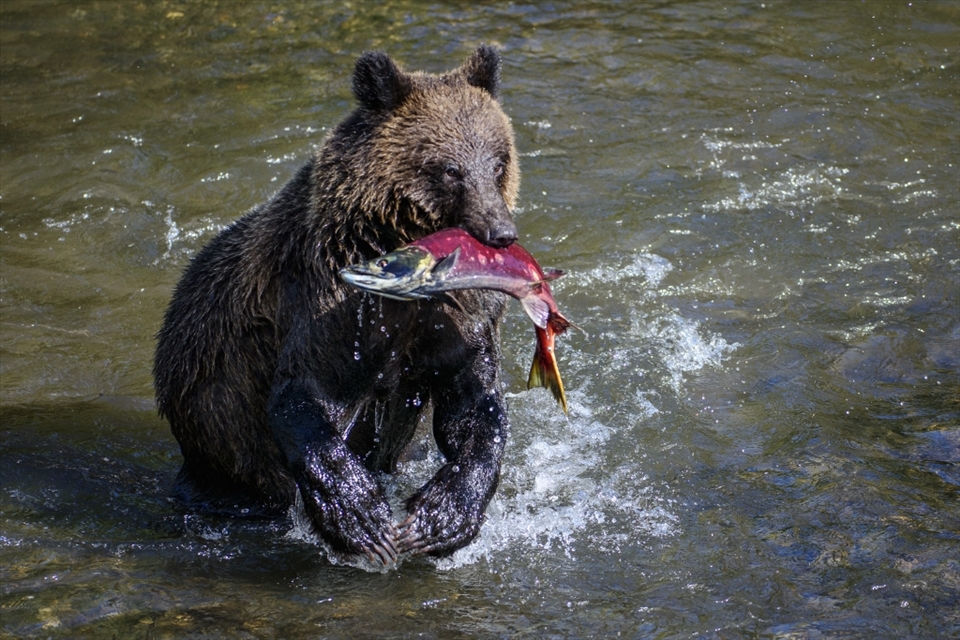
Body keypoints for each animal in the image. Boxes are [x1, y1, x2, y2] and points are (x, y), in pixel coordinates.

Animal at [153, 45, 520, 565]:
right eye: (450, 169)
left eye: (497, 162)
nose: (500, 232)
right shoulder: (333, 301)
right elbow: (309, 390)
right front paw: (364, 519)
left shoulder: (457, 314)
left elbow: (472, 402)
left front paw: (440, 517)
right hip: (216, 427)